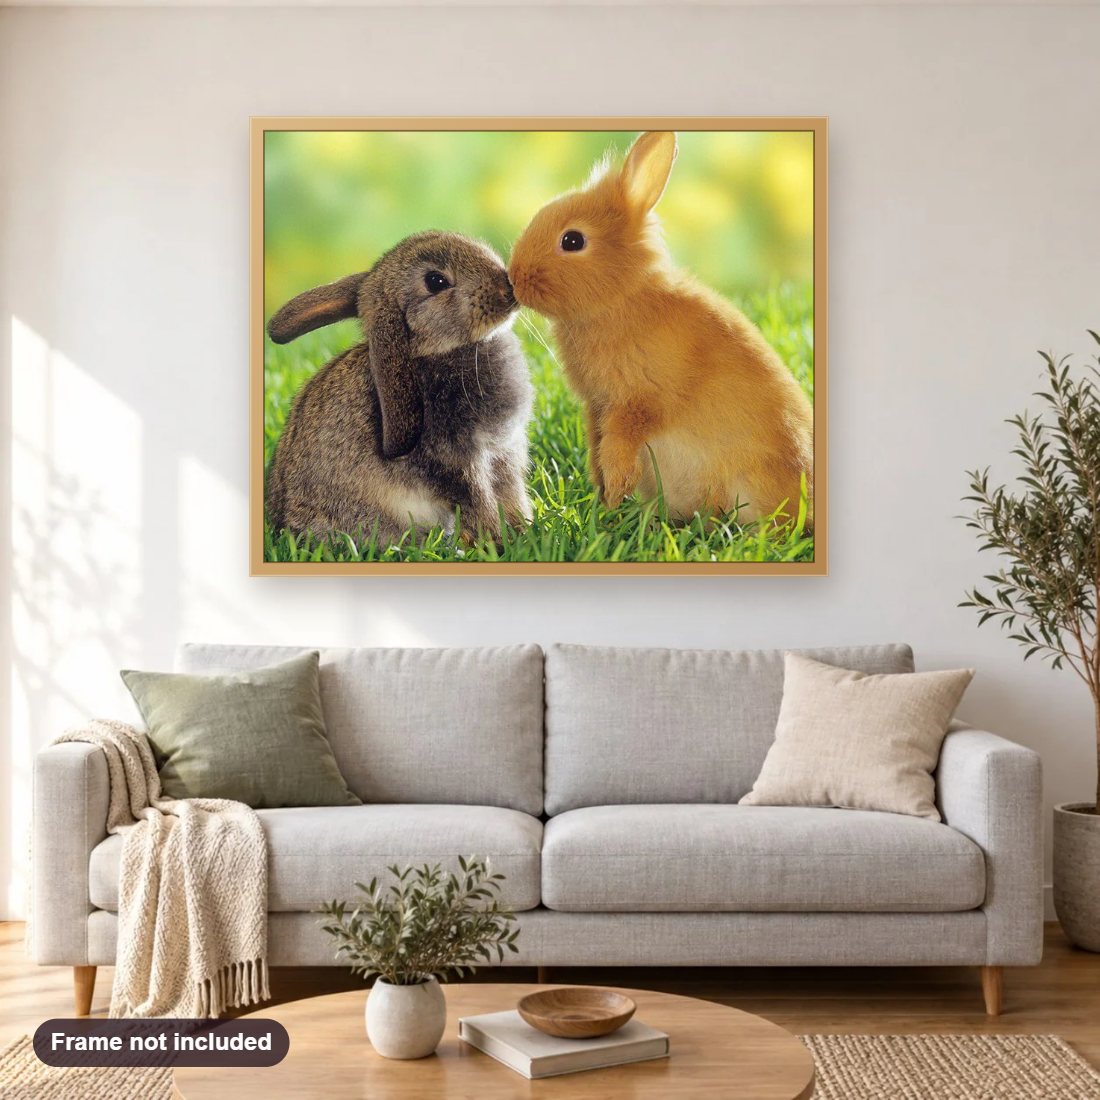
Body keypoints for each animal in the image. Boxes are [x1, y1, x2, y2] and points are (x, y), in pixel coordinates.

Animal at [266, 231, 533, 544]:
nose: (508, 290)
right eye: (436, 281)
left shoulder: (504, 452)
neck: (431, 351)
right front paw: (497, 540)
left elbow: (511, 494)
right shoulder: (457, 460)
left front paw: (524, 529)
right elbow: (478, 500)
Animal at [508, 131, 814, 528]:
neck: (622, 298)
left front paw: (614, 496)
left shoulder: (638, 403)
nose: (514, 278)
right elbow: (597, 449)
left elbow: (618, 448)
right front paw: (604, 500)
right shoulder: (597, 407)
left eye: (572, 241)